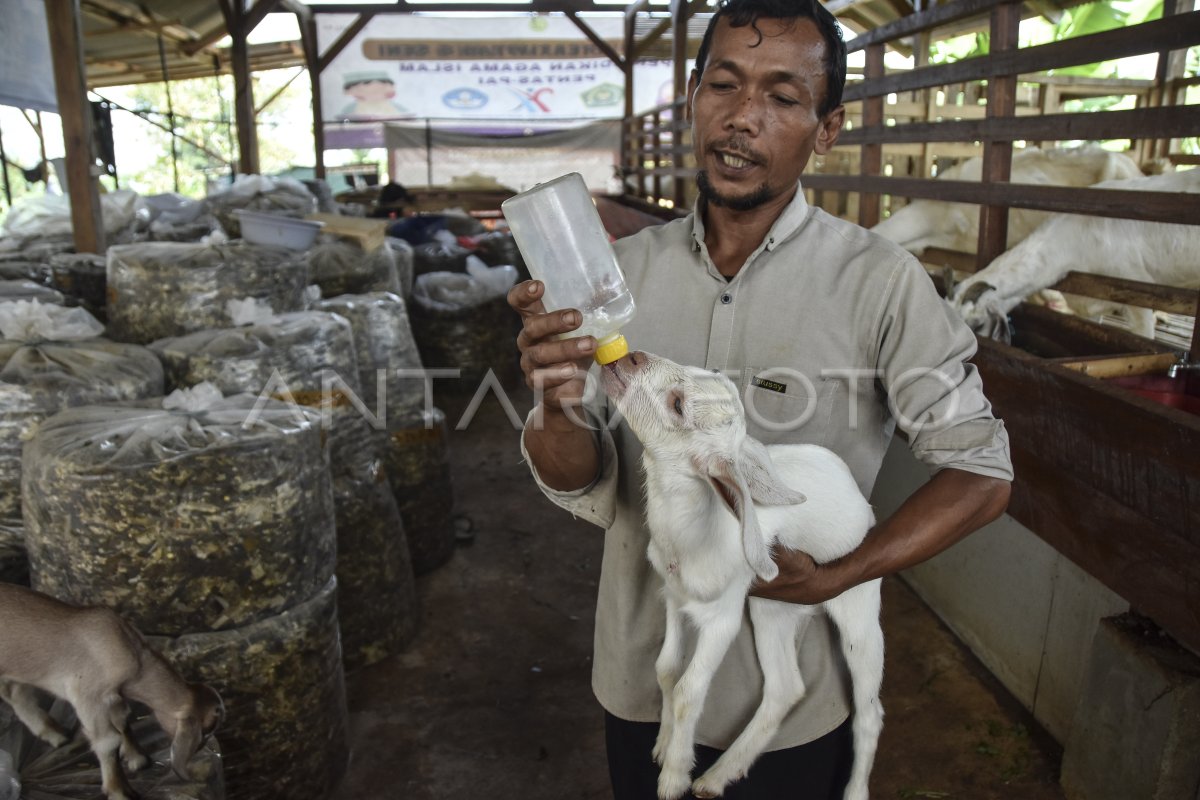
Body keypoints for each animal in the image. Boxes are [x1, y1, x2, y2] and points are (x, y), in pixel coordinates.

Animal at [0, 582, 224, 800]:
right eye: (207, 729)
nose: (201, 748)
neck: (135, 657)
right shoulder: (88, 698)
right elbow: (108, 740)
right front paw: (120, 791)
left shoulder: (114, 697)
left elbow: (122, 720)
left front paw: (137, 758)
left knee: (15, 693)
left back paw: (54, 733)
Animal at [600, 352, 883, 800]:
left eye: (677, 405)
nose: (631, 357)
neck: (692, 529)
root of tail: (862, 503)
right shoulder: (674, 597)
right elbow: (666, 668)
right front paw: (663, 744)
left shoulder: (723, 617)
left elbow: (688, 691)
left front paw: (674, 776)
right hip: (773, 607)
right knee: (786, 687)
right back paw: (718, 776)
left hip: (858, 602)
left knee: (869, 713)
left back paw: (854, 790)